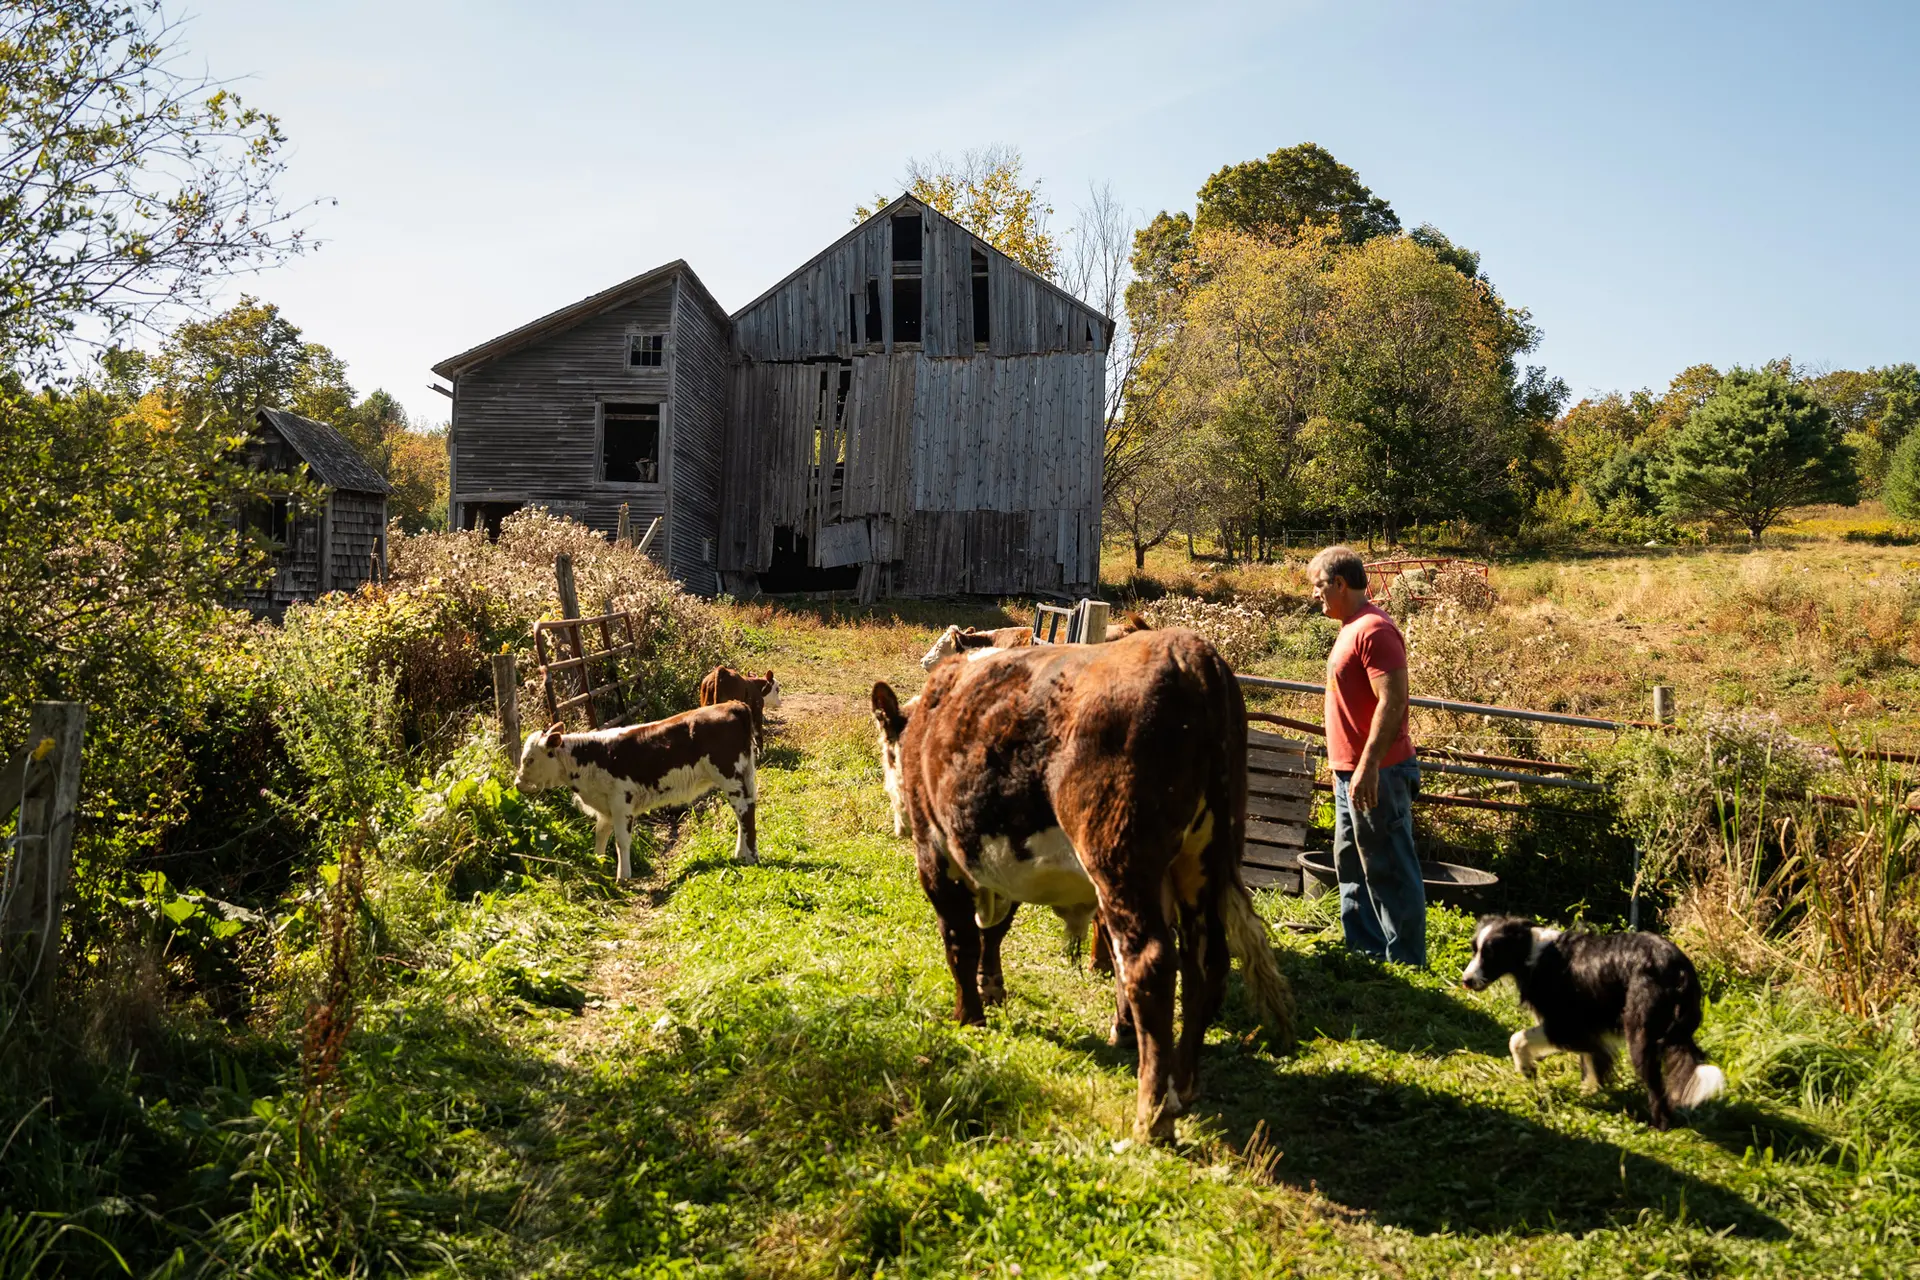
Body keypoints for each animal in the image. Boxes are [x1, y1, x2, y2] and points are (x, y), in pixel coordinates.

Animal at [514, 703, 760, 879]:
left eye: (529, 759)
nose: (517, 783)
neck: (591, 757)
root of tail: (732, 705)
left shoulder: (621, 803)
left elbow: (621, 840)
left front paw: (623, 876)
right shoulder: (606, 807)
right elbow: (600, 835)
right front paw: (597, 863)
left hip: (729, 775)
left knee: (744, 811)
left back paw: (751, 857)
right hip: (742, 775)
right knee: (743, 812)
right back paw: (740, 854)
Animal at [872, 628, 1294, 1143]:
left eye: (887, 751)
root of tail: (1186, 651)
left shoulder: (937, 853)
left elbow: (961, 941)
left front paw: (969, 1016)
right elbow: (1003, 932)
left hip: (1120, 862)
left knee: (1151, 964)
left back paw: (1152, 1114)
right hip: (1203, 864)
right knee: (1205, 964)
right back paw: (1183, 1083)